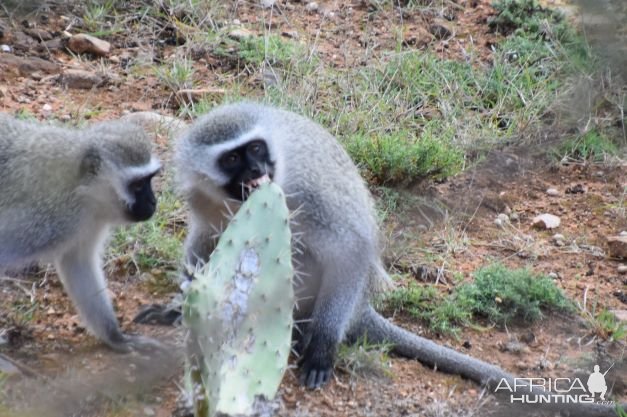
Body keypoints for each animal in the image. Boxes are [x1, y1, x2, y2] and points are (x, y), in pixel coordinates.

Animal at [0, 114, 162, 352]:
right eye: (138, 185)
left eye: (150, 179)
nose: (153, 202)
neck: (83, 191)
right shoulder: (43, 220)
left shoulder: (89, 221)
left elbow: (77, 262)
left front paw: (116, 337)